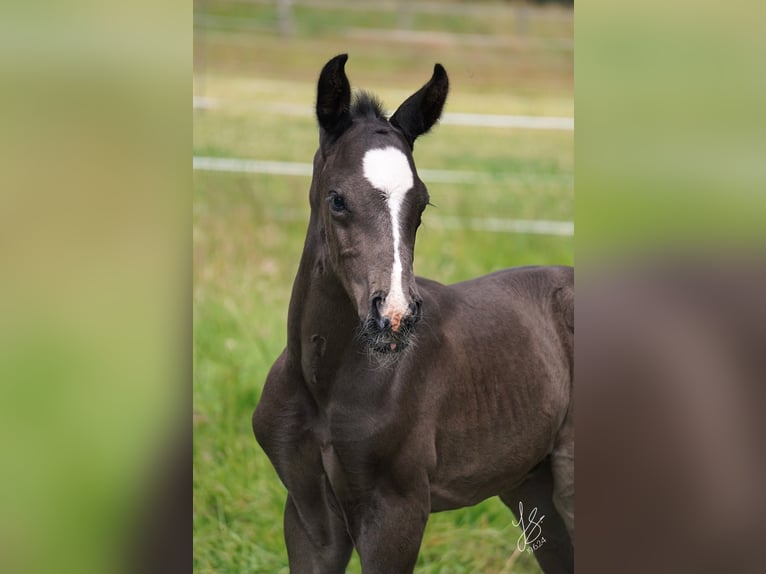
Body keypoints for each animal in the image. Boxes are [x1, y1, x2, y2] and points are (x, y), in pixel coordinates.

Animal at [254, 55, 576, 574]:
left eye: (421, 205)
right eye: (337, 199)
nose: (396, 315)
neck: (324, 385)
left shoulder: (396, 511)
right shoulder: (307, 516)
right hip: (533, 486)